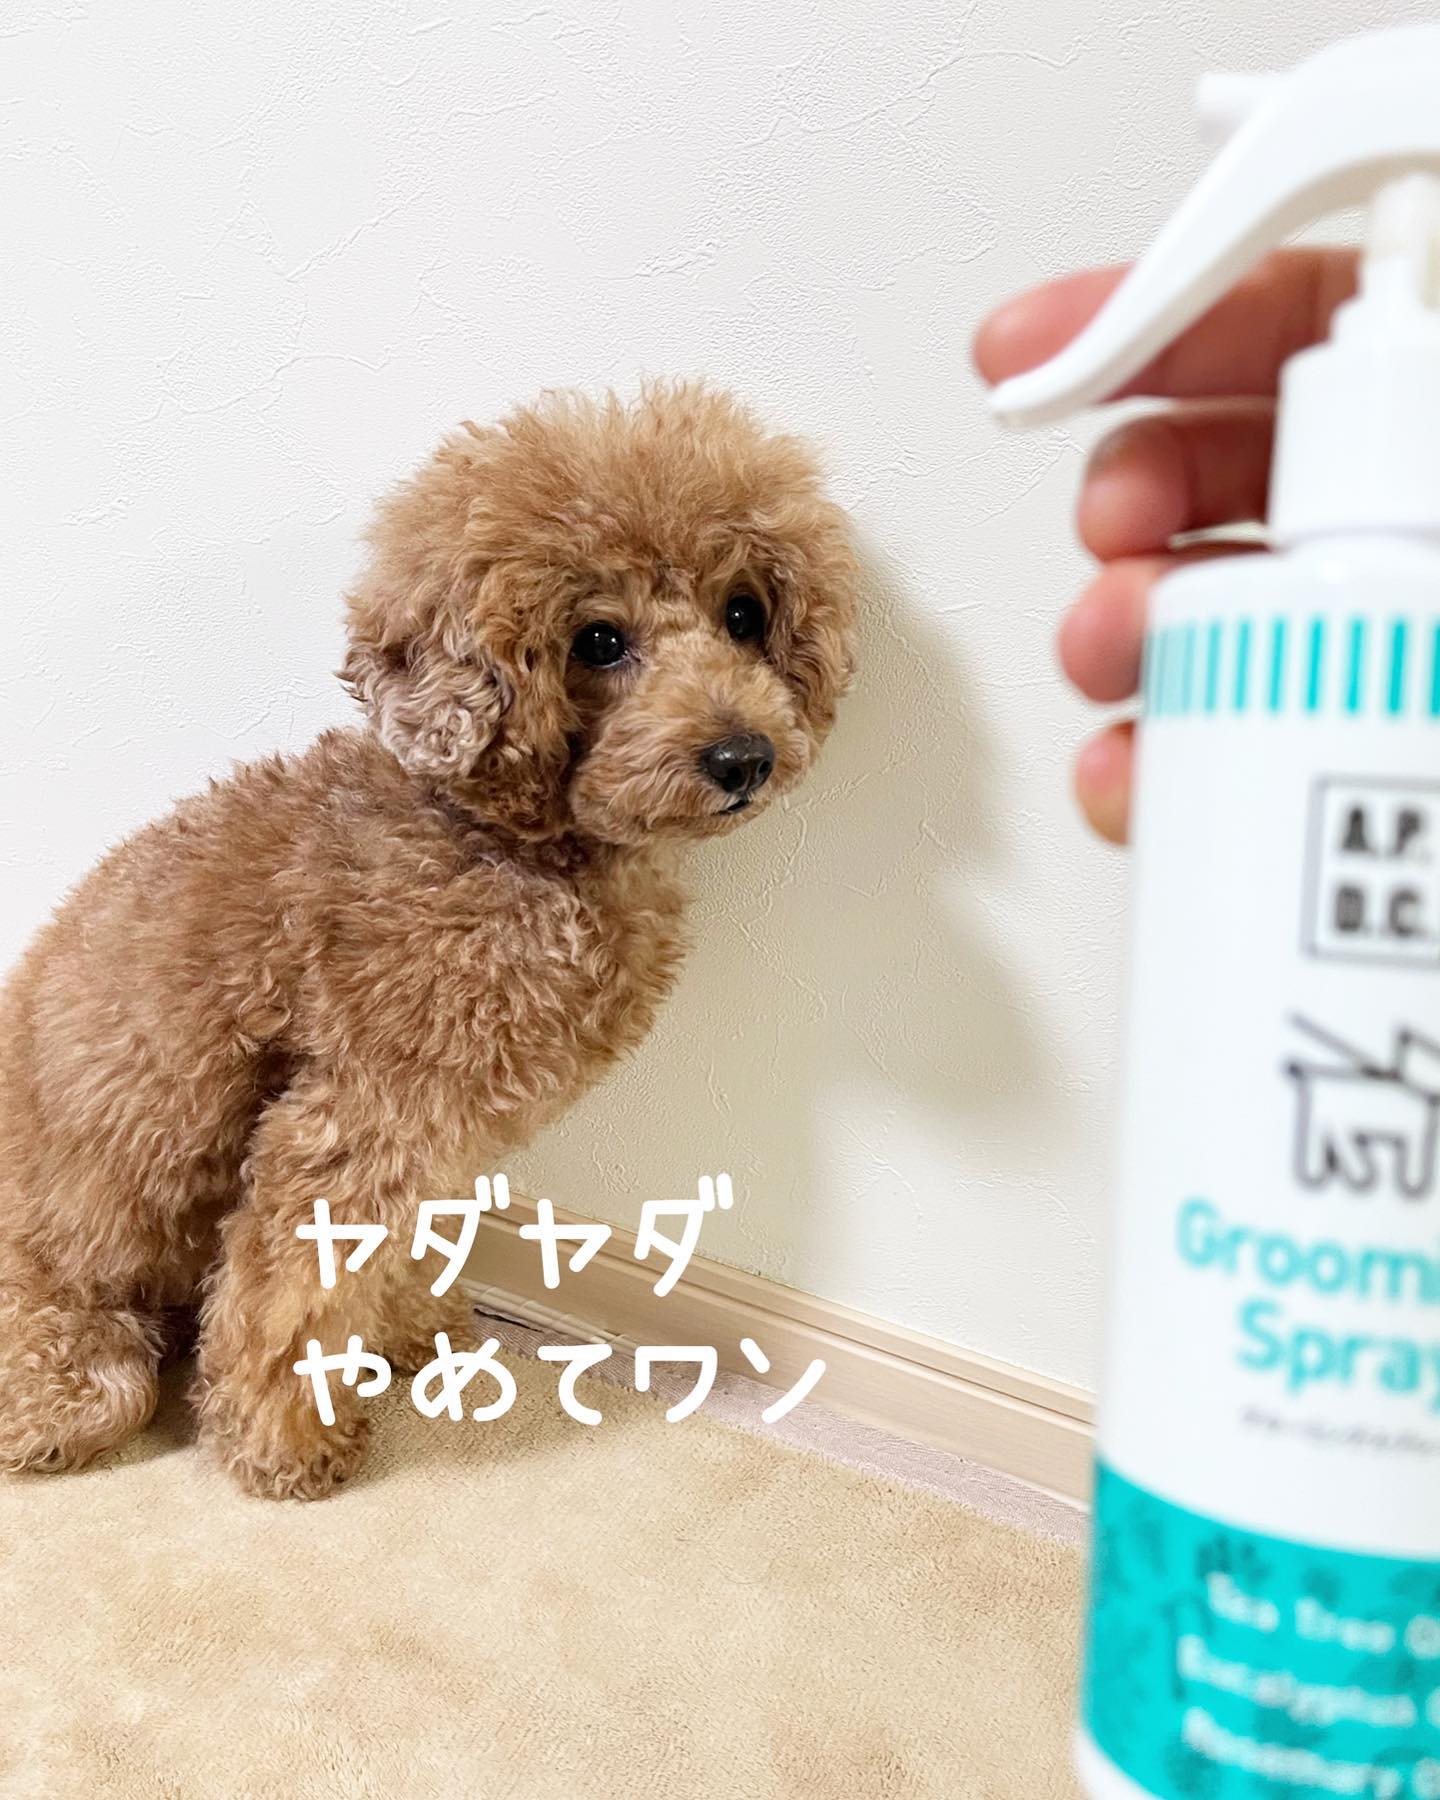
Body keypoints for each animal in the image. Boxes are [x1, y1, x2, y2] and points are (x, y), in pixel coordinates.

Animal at [0, 383, 857, 1498]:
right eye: (598, 641)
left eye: (744, 614)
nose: (742, 756)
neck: (502, 840)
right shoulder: (358, 1113)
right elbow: (294, 1289)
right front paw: (289, 1444)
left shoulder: (446, 1123)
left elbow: (404, 1242)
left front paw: (403, 1332)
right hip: (77, 1283)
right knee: (84, 1355)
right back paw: (54, 1410)